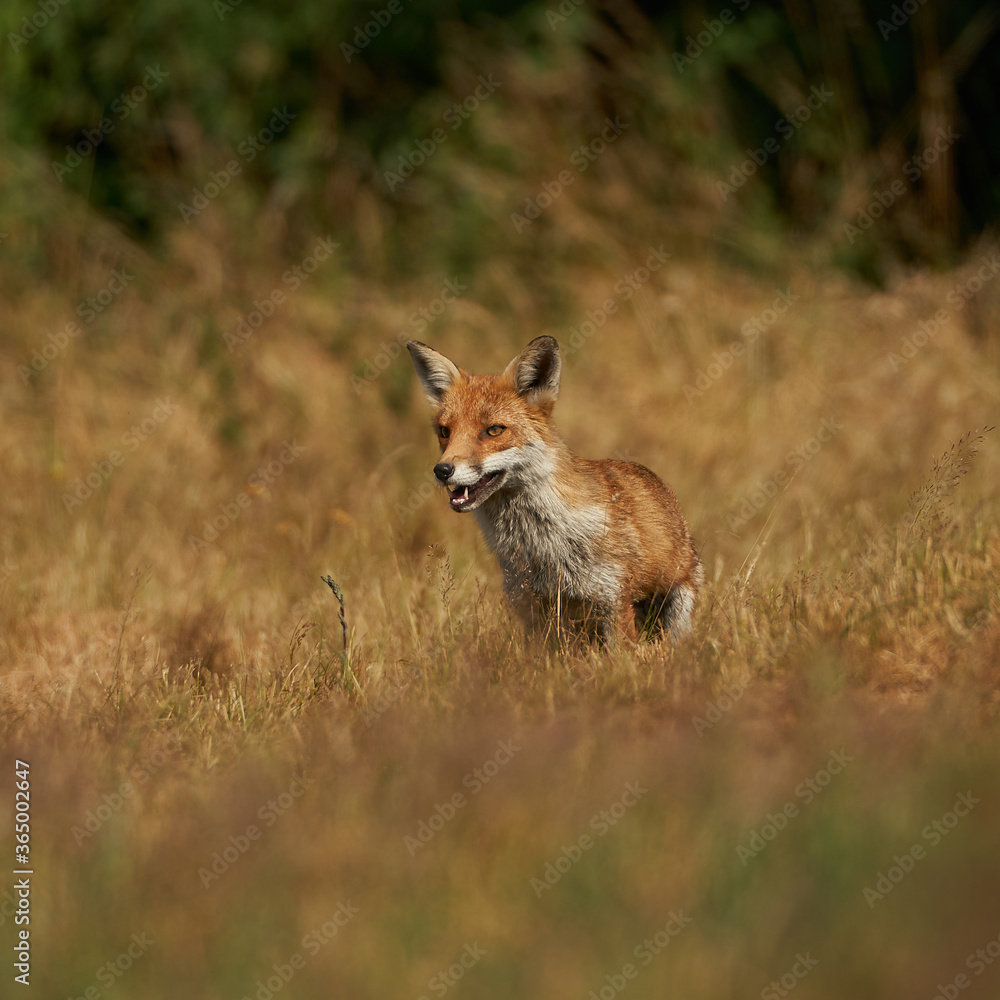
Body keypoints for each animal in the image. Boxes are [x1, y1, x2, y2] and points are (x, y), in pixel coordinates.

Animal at [406, 336, 704, 644]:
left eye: (494, 430)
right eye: (445, 432)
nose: (442, 470)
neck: (543, 545)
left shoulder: (614, 600)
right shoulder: (529, 605)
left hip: (676, 613)